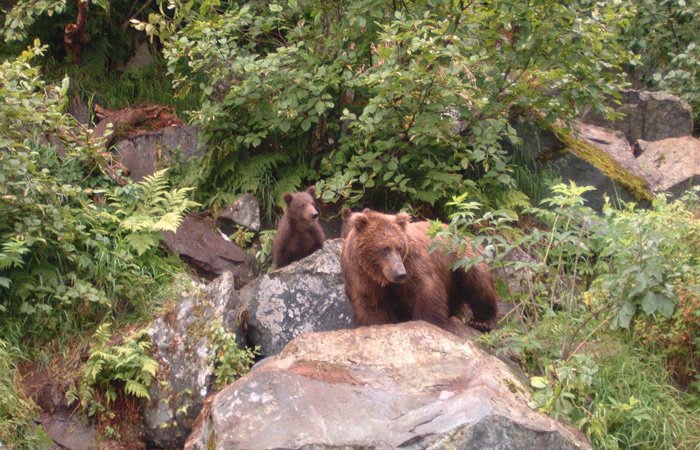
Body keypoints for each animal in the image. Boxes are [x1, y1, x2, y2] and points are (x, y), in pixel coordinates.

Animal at [340, 208, 498, 331]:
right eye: (384, 248)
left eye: (399, 247)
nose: (400, 274)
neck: (379, 274)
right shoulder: (359, 273)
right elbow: (370, 302)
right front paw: (377, 323)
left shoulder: (412, 261)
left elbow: (425, 287)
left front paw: (427, 322)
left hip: (462, 258)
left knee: (478, 282)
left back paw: (481, 321)